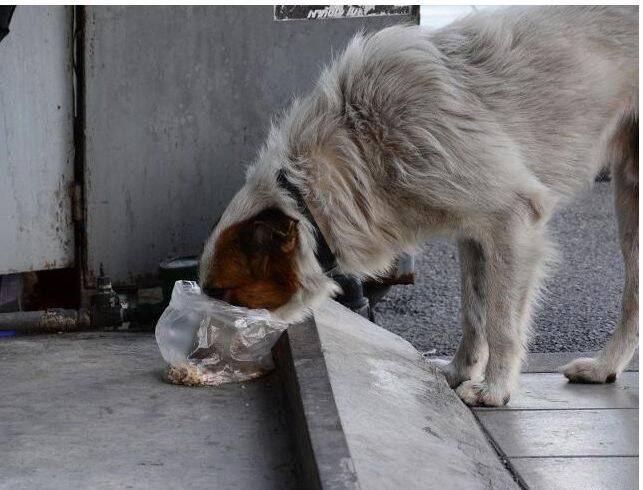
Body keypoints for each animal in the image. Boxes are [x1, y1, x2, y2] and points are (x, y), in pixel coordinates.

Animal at [203, 6, 640, 406]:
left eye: (225, 293)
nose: (201, 353)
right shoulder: (474, 233)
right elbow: (473, 312)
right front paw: (461, 371)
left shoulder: (513, 221)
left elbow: (500, 321)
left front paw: (494, 389)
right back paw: (604, 368)